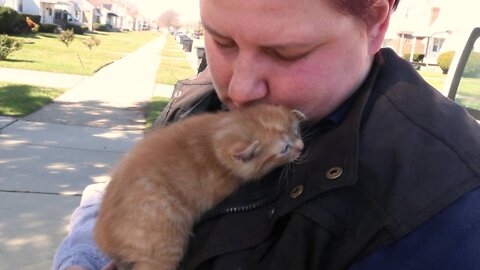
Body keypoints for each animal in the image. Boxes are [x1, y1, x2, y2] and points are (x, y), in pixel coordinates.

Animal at [94, 103, 304, 270]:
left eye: (296, 132)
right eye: (285, 149)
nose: (301, 147)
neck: (214, 133)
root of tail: (105, 237)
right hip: (162, 249)